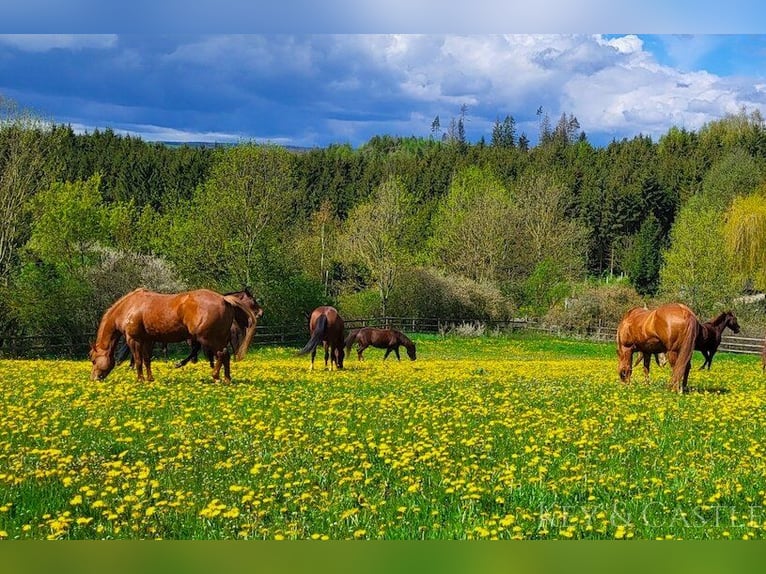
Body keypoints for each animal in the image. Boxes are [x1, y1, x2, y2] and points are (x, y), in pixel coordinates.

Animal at [90, 288, 260, 388]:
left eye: (92, 360)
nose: (94, 378)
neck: (131, 306)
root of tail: (224, 299)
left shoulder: (134, 340)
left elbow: (138, 361)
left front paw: (140, 380)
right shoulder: (148, 340)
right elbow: (147, 360)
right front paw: (150, 379)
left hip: (208, 338)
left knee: (222, 354)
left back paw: (216, 377)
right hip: (218, 339)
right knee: (225, 356)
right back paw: (227, 379)